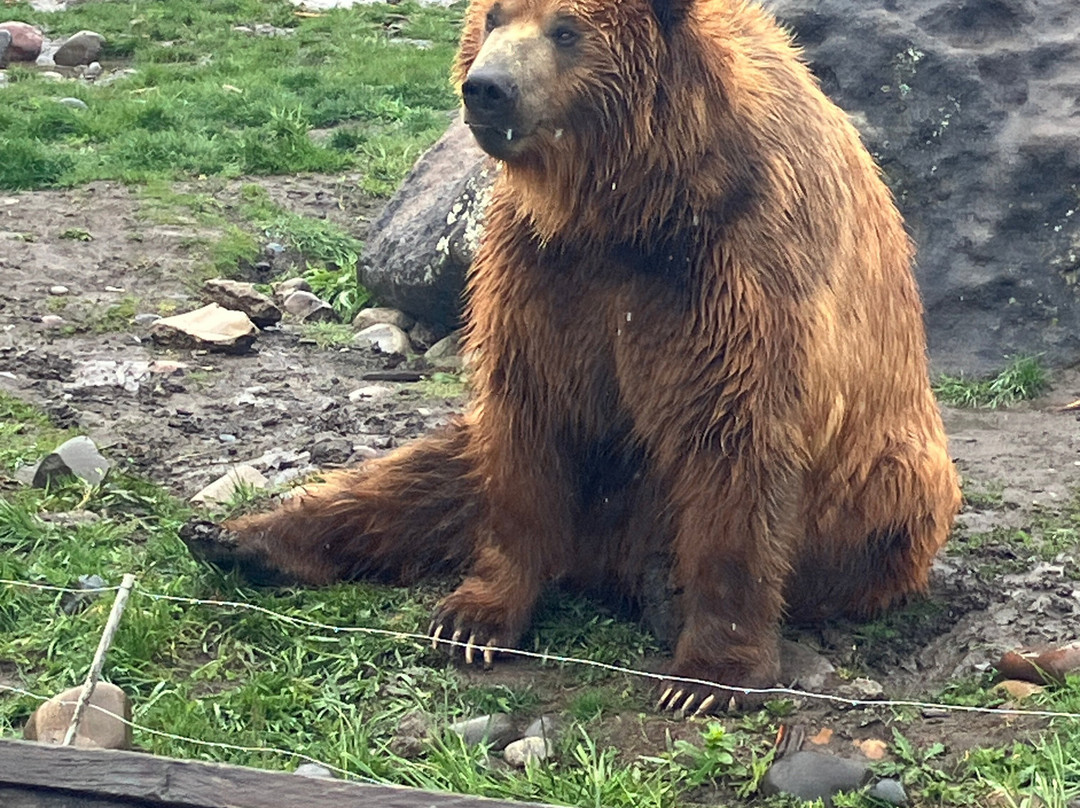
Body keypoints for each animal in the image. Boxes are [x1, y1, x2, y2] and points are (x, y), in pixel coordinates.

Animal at [182, 0, 961, 714]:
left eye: (566, 30)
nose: (487, 87)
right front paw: (473, 618)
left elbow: (736, 442)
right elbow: (527, 426)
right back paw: (235, 536)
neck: (626, 203)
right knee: (423, 474)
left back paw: (667, 590)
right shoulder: (543, 270)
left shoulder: (739, 262)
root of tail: (607, 563)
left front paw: (709, 675)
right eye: (494, 18)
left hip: (886, 481)